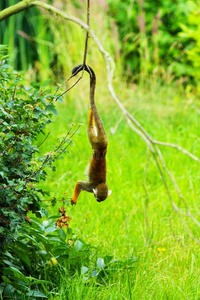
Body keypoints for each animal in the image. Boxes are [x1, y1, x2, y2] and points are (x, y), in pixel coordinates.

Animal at [70, 64, 111, 205]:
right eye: (98, 198)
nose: (97, 201)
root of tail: (104, 147)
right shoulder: (90, 187)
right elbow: (79, 183)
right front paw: (73, 200)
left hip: (101, 140)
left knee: (92, 128)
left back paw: (90, 113)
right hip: (96, 141)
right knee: (90, 131)